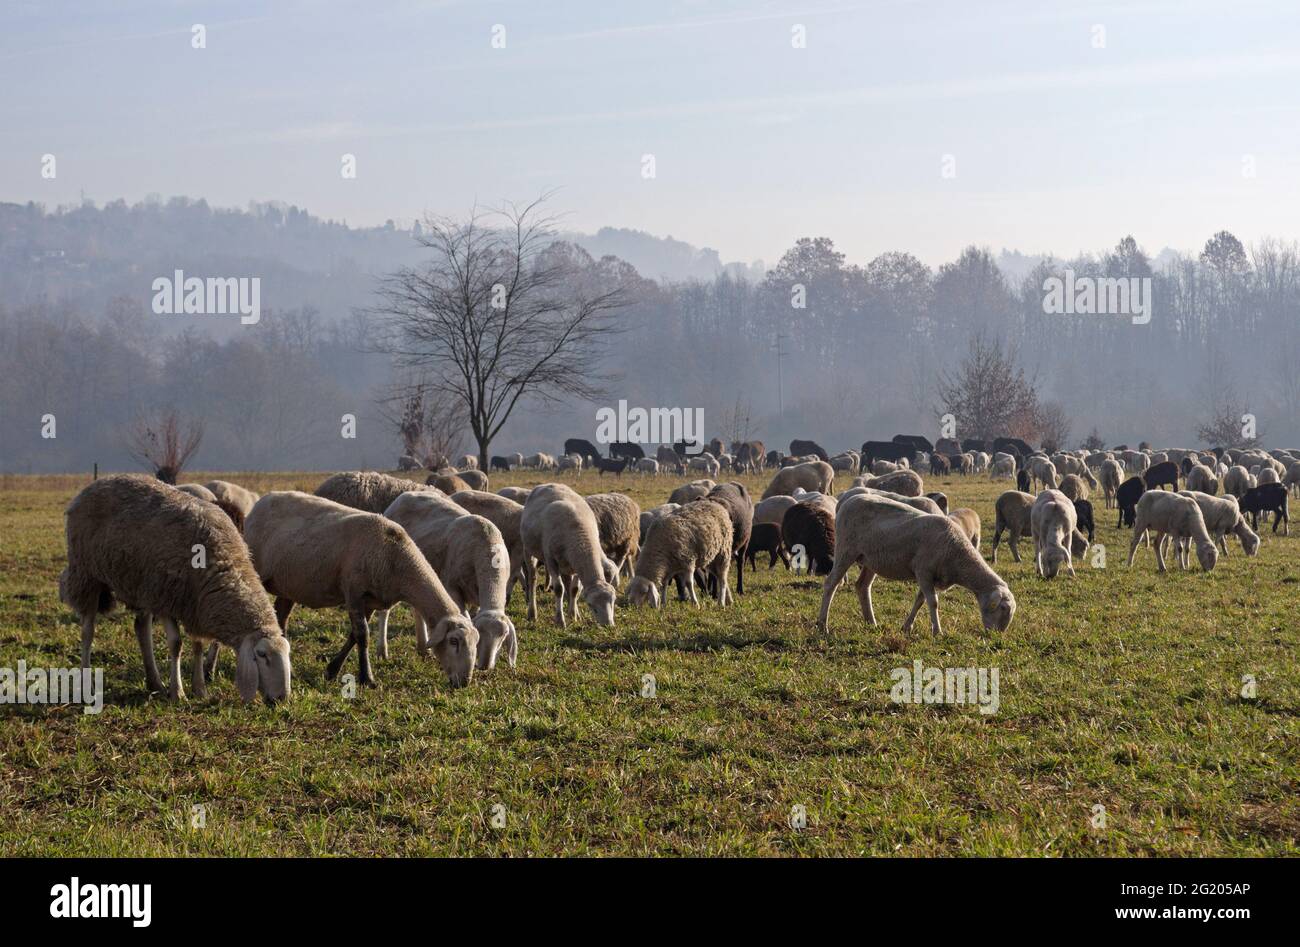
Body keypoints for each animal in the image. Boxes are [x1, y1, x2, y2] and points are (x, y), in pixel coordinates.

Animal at [59, 475, 291, 704]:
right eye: (262, 655)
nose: (282, 698)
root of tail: (97, 483)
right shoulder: (166, 598)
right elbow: (176, 644)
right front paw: (178, 692)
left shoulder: (194, 605)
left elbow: (197, 644)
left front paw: (199, 688)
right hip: (87, 573)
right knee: (88, 630)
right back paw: (87, 683)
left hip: (141, 583)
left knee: (141, 627)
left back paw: (155, 683)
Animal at [245, 492, 479, 687]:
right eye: (454, 641)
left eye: (475, 642)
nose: (464, 682)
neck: (397, 558)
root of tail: (261, 502)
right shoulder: (354, 592)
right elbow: (362, 635)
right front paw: (367, 678)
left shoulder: (371, 600)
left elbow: (353, 636)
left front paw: (332, 670)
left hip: (288, 584)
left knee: (281, 617)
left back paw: (288, 668)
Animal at [382, 492, 518, 670]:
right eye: (480, 634)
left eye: (504, 636)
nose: (484, 666)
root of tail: (404, 495)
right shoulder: (452, 587)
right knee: (385, 612)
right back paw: (382, 651)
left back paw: (423, 648)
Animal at [520, 484, 617, 627]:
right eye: (591, 605)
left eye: (613, 601)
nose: (608, 625)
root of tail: (548, 484)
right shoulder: (551, 560)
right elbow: (559, 589)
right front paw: (560, 620)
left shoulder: (576, 564)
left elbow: (574, 589)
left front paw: (573, 615)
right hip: (528, 550)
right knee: (532, 579)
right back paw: (532, 613)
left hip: (565, 564)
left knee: (567, 583)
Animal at [815, 493, 1016, 637]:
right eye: (1003, 608)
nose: (997, 635)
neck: (958, 554)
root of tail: (847, 501)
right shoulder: (923, 571)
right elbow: (933, 602)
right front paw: (937, 632)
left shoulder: (932, 577)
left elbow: (920, 600)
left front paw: (907, 627)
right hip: (846, 549)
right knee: (831, 583)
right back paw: (822, 625)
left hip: (870, 560)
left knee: (862, 586)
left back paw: (871, 622)